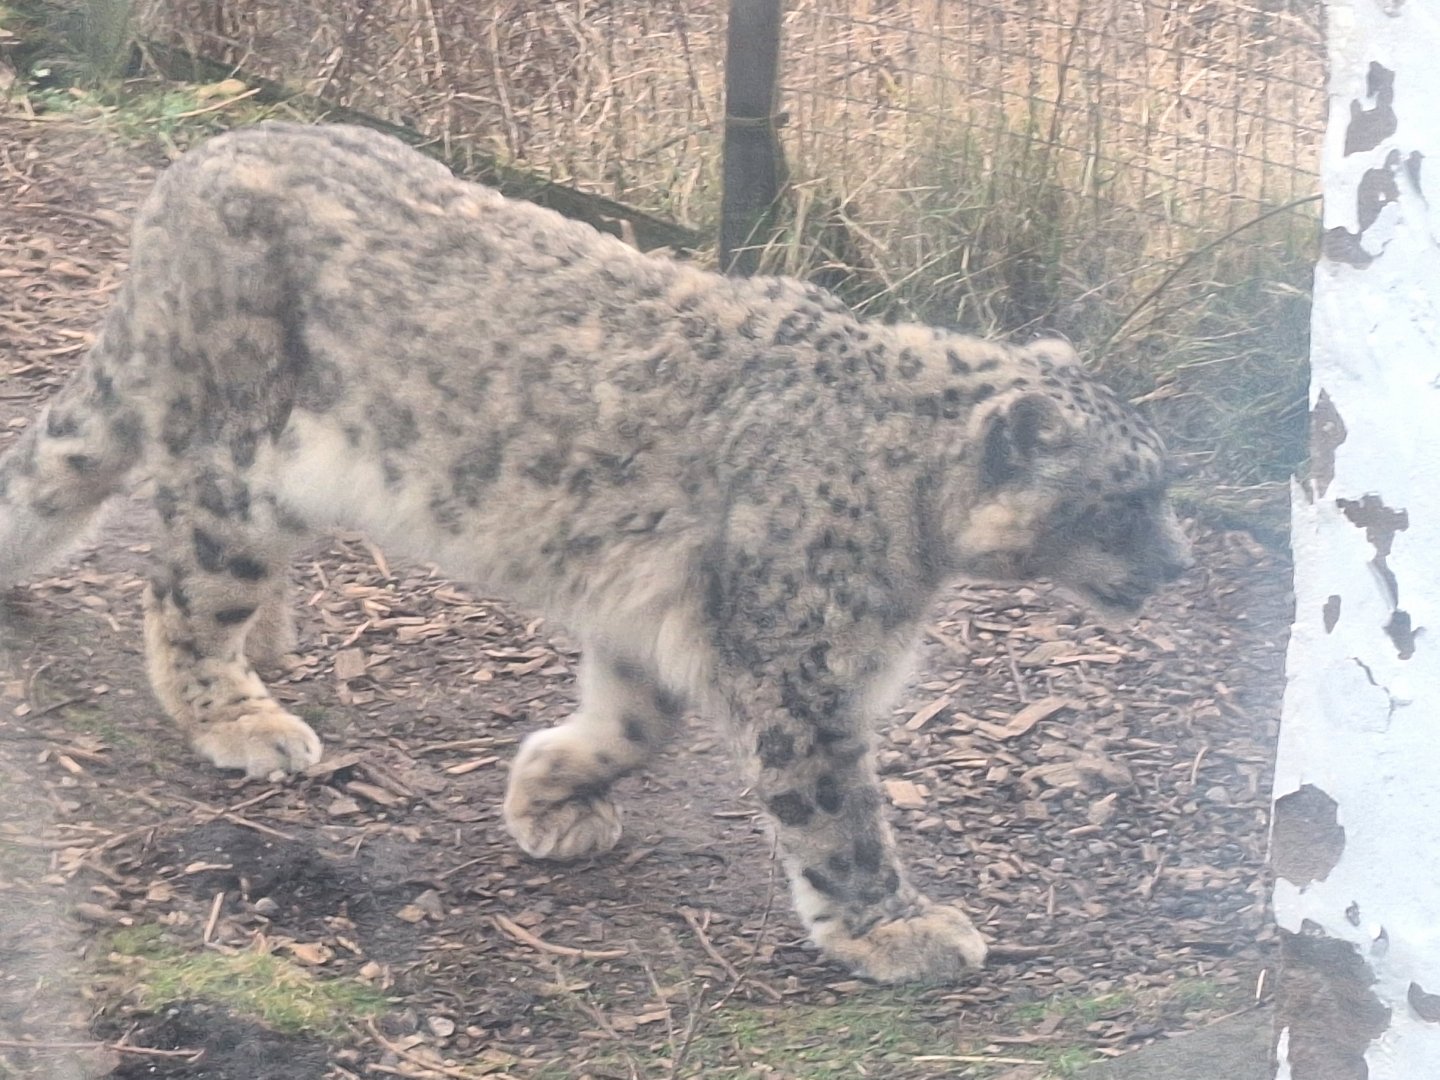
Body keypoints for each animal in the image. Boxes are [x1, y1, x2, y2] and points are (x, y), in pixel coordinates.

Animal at [0, 123, 1191, 983]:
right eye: (1133, 496)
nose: (1180, 566)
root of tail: (198, 163)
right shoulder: (805, 671)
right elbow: (837, 815)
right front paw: (897, 930)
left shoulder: (660, 631)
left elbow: (630, 725)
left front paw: (547, 799)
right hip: (244, 470)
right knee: (184, 593)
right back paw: (244, 717)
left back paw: (274, 638)